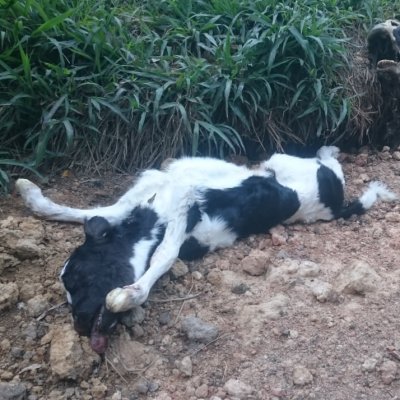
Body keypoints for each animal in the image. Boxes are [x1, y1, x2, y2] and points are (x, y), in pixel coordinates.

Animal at [16, 145, 396, 352]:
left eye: (79, 277)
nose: (80, 327)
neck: (148, 217)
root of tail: (336, 205)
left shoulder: (183, 202)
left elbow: (163, 257)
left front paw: (129, 294)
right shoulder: (143, 198)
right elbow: (89, 212)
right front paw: (33, 197)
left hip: (290, 162)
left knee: (329, 163)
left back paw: (328, 151)